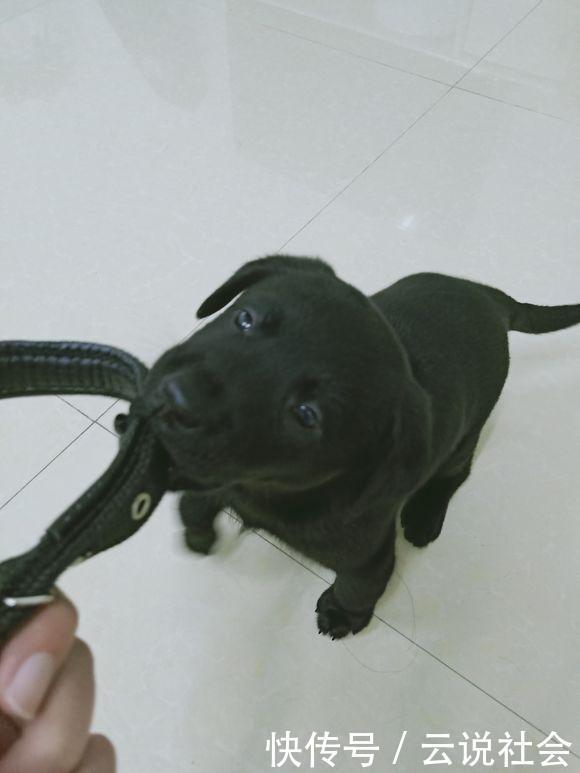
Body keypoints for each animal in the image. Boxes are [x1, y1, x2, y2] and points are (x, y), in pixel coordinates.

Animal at [138, 258, 576, 640]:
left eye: (306, 414)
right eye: (244, 318)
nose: (176, 398)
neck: (270, 490)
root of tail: (492, 300)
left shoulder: (368, 553)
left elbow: (358, 586)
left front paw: (343, 615)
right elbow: (196, 502)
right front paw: (197, 531)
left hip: (463, 437)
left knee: (457, 472)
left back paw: (423, 516)